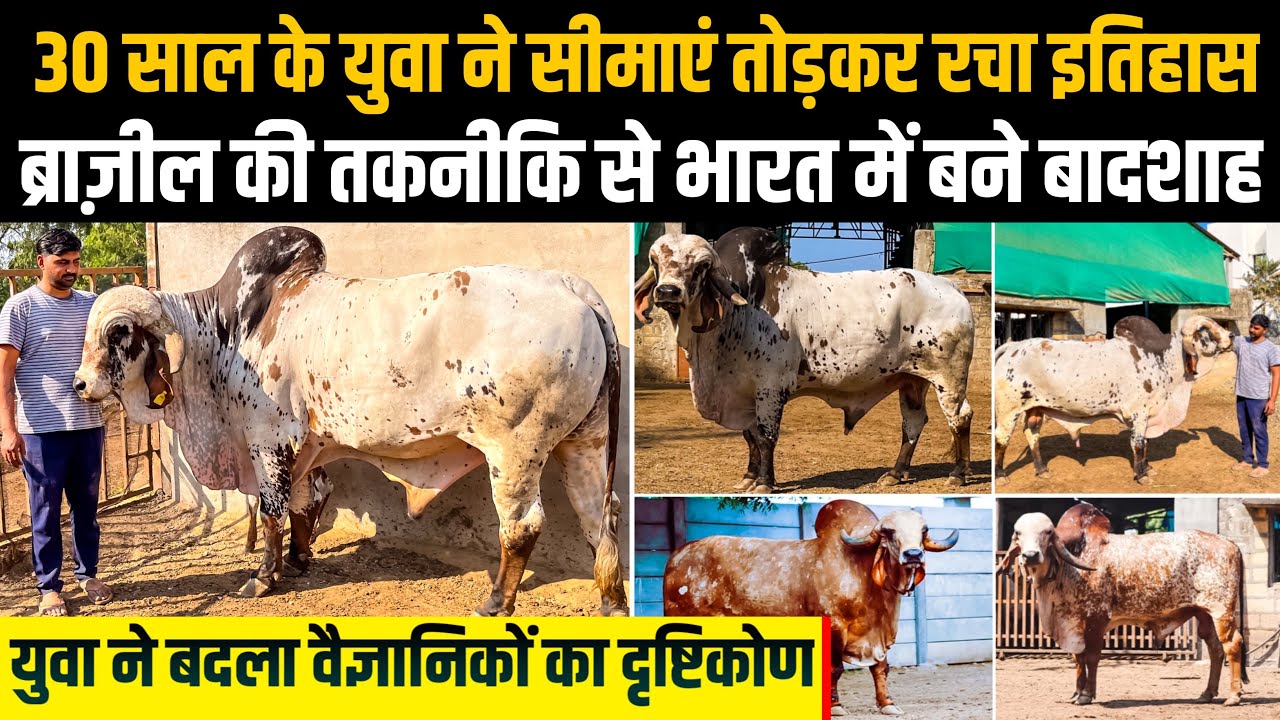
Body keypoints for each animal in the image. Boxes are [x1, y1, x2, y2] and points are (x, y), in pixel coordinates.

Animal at [73, 226, 629, 617]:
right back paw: (611, 601)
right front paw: (299, 561)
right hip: (585, 441)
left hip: (515, 450)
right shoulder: (306, 446)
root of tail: (574, 287)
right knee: (598, 517)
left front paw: (263, 577)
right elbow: (304, 503)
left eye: (118, 334)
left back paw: (495, 603)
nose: (79, 385)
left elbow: (272, 512)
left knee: (522, 526)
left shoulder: (267, 439)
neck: (225, 331)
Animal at [633, 227, 976, 492]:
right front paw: (749, 477)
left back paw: (958, 474)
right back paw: (895, 473)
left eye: (702, 265)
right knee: (913, 423)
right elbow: (749, 436)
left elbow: (765, 437)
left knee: (960, 417)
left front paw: (764, 482)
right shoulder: (746, 393)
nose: (667, 292)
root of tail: (952, 287)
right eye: (655, 261)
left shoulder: (770, 389)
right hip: (912, 380)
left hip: (949, 378)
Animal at [663, 499, 959, 716]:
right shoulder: (834, 626)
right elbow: (835, 669)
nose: (913, 555)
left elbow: (880, 669)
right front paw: (836, 706)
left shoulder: (878, 636)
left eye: (923, 531)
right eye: (888, 531)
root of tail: (677, 556)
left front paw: (887, 704)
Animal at [993, 314, 1233, 484]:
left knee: (1032, 434)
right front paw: (1141, 475)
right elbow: (1138, 443)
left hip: (1035, 408)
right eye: (1207, 330)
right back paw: (1001, 476)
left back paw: (1042, 470)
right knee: (1001, 439)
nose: (1232, 336)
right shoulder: (1138, 413)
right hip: (1008, 410)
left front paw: (1147, 468)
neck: (1164, 358)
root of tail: (1013, 346)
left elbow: (1145, 443)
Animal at [997, 502, 1249, 706]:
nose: (1030, 555)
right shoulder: (1074, 623)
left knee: (1232, 644)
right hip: (1203, 612)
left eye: (1048, 532)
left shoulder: (1096, 619)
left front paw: (1086, 695)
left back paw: (1233, 696)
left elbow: (1091, 657)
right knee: (1215, 649)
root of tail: (1230, 543)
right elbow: (1078, 658)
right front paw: (1076, 693)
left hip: (1222, 611)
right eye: (1018, 533)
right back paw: (1207, 693)